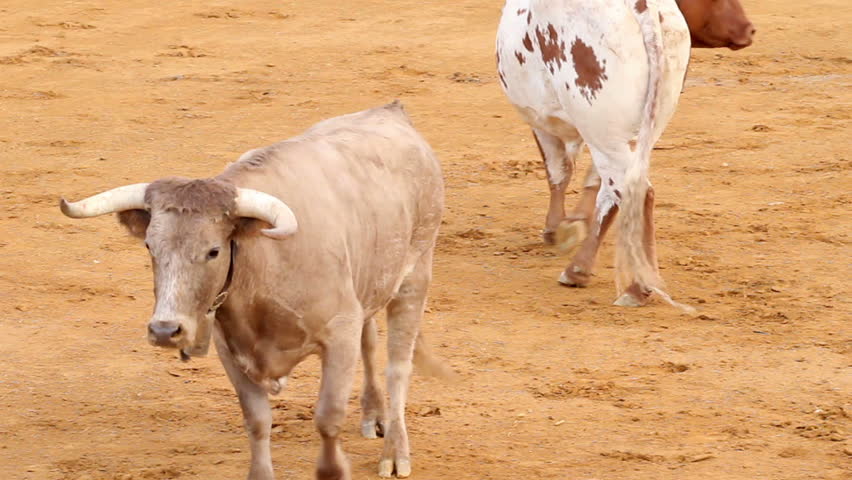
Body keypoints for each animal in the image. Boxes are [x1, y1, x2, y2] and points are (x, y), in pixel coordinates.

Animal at [59, 101, 444, 480]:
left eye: (214, 251)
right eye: (150, 246)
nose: (165, 331)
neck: (263, 265)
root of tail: (392, 112)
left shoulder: (339, 335)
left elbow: (328, 418)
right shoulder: (229, 348)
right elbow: (257, 421)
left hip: (415, 275)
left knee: (398, 367)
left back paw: (395, 453)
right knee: (371, 340)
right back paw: (374, 415)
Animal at [496, 0, 754, 307]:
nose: (749, 30)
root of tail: (645, 8)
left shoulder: (541, 121)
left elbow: (558, 172)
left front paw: (555, 229)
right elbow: (589, 180)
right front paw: (575, 222)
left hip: (601, 126)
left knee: (627, 189)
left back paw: (615, 280)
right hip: (631, 131)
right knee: (625, 188)